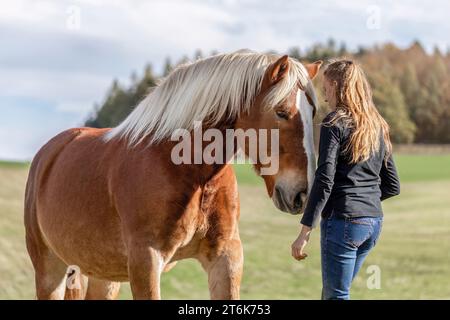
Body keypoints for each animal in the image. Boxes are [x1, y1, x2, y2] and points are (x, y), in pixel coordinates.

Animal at [24, 50, 322, 300]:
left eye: (313, 113)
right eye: (281, 112)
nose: (302, 194)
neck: (190, 173)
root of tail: (49, 152)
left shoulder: (226, 257)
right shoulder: (146, 262)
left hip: (103, 275)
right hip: (51, 269)